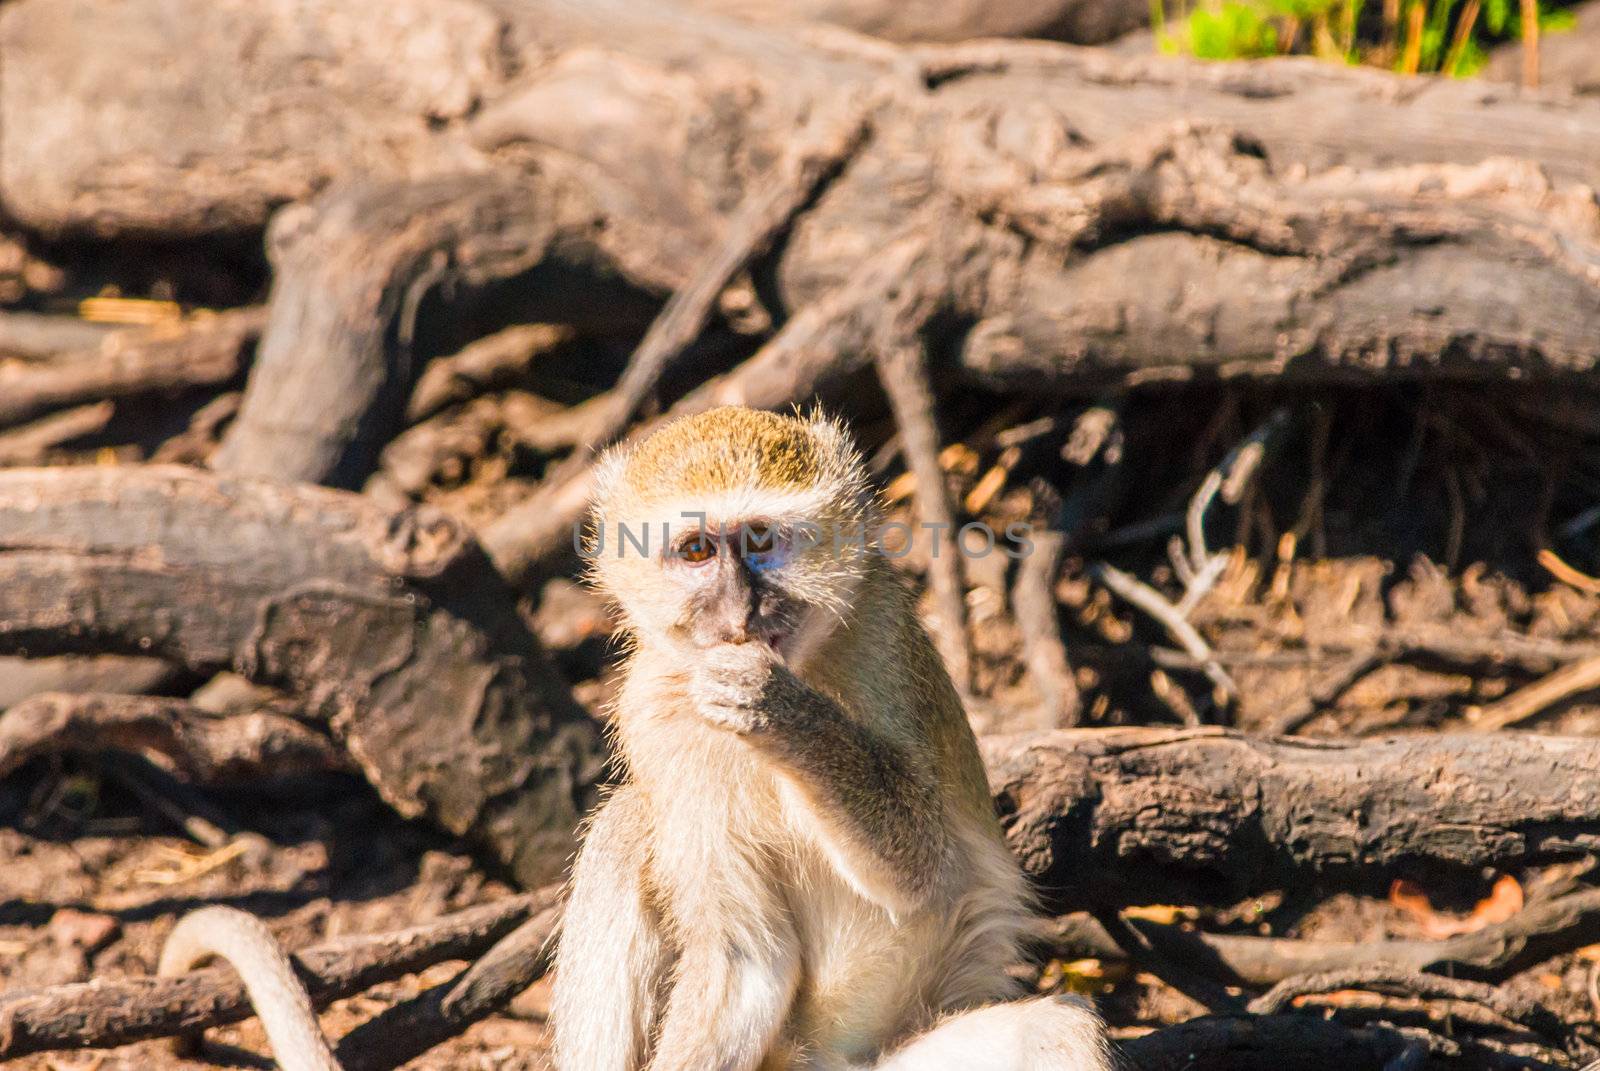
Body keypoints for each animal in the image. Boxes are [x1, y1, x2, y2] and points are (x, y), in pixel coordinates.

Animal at [556, 406, 1107, 1069]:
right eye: (695, 551)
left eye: (760, 541)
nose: (741, 612)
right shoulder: (653, 710)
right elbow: (746, 958)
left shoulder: (881, 638)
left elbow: (923, 867)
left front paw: (777, 708)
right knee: (625, 825)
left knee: (1054, 1032)